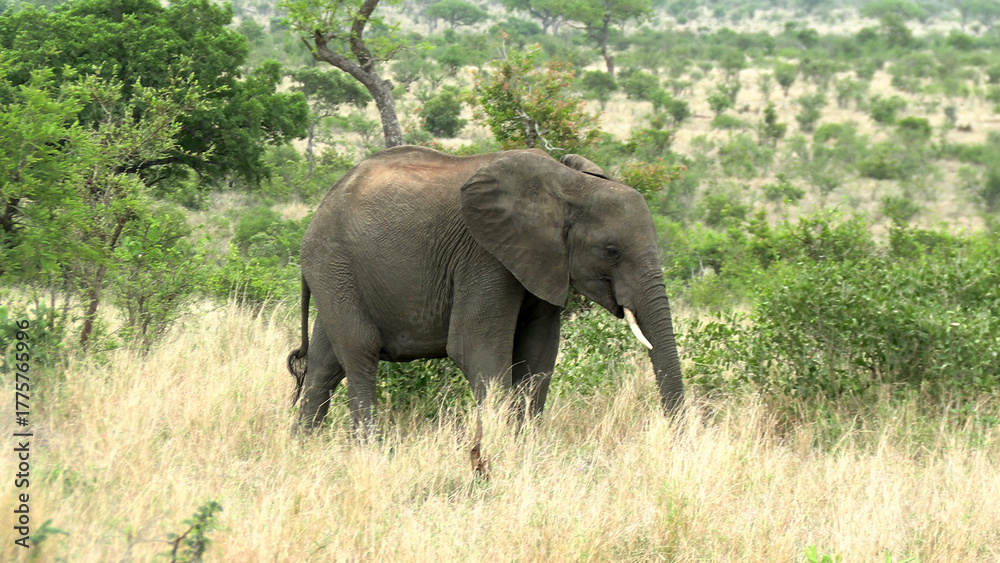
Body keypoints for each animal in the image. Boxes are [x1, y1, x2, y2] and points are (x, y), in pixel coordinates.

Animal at [286, 145, 683, 435]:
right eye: (612, 251)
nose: (677, 436)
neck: (569, 185)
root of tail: (319, 211)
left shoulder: (543, 262)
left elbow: (538, 356)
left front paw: (526, 446)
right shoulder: (485, 255)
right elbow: (475, 348)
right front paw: (496, 446)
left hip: (337, 276)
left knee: (324, 365)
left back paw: (304, 445)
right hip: (333, 264)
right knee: (359, 352)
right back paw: (370, 448)